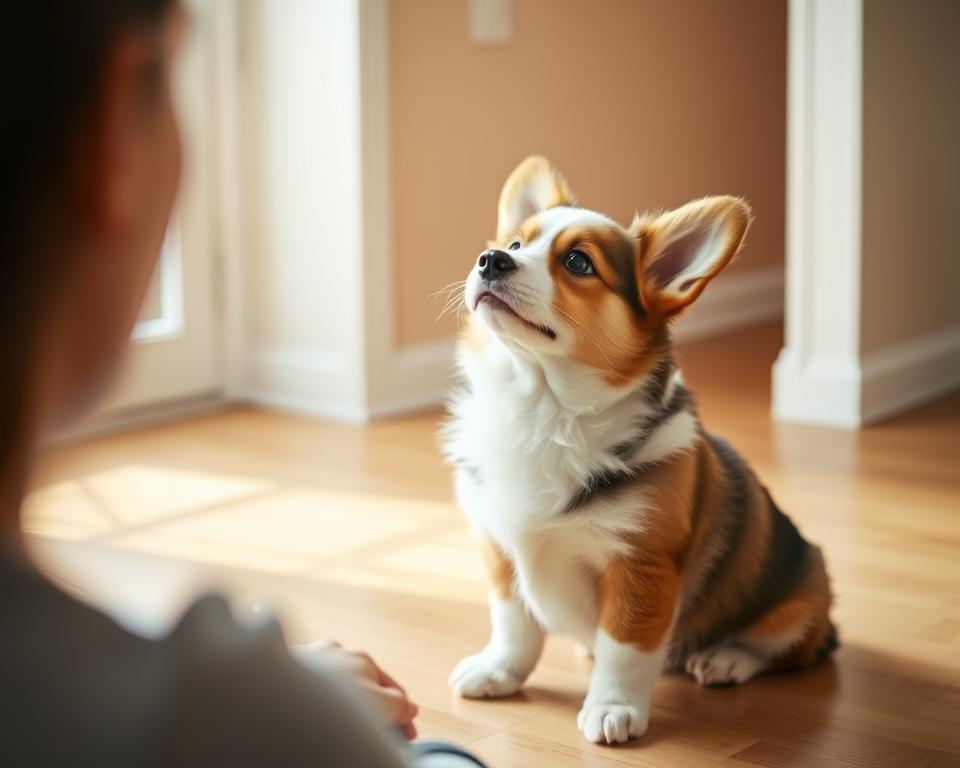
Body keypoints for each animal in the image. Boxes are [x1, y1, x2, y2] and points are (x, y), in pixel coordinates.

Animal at [440, 156, 832, 744]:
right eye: (515, 242)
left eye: (578, 262)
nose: (489, 260)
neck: (542, 409)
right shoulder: (499, 548)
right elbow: (513, 623)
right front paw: (499, 671)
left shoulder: (641, 565)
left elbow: (624, 649)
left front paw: (612, 708)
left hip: (798, 606)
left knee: (782, 649)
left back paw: (725, 659)